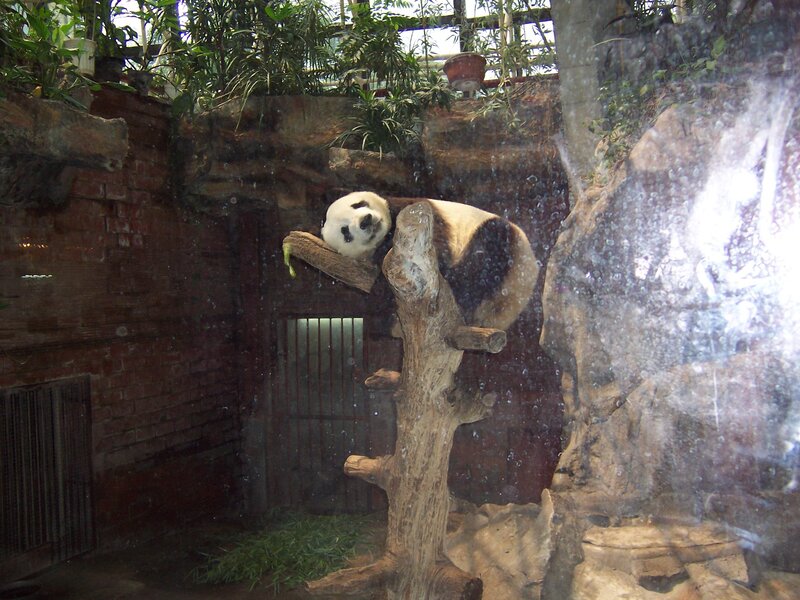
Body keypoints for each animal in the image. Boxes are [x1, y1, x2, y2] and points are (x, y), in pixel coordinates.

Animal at [320, 191, 538, 331]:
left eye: (358, 204)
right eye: (346, 233)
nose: (365, 221)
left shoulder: (417, 211)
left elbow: (435, 254)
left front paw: (378, 303)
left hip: (513, 252)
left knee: (490, 242)